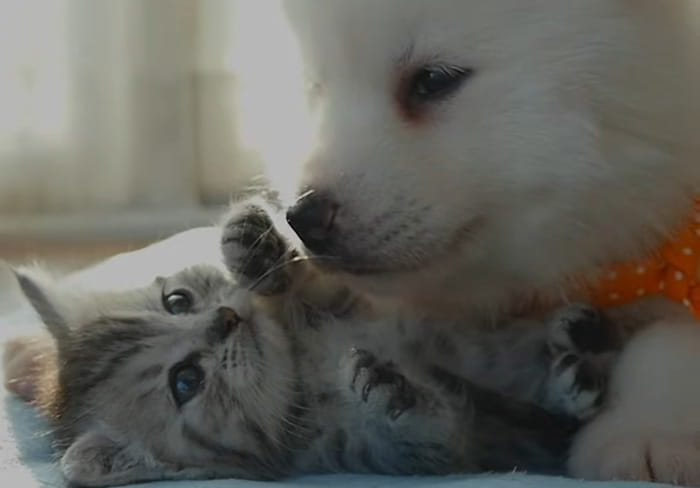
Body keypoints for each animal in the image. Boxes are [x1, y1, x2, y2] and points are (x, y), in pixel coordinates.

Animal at [4, 200, 616, 486]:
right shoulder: (383, 454)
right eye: (185, 381)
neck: (305, 359)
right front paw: (394, 392)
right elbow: (434, 436)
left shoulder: (386, 314)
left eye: (176, 302)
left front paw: (254, 245)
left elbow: (496, 353)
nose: (226, 319)